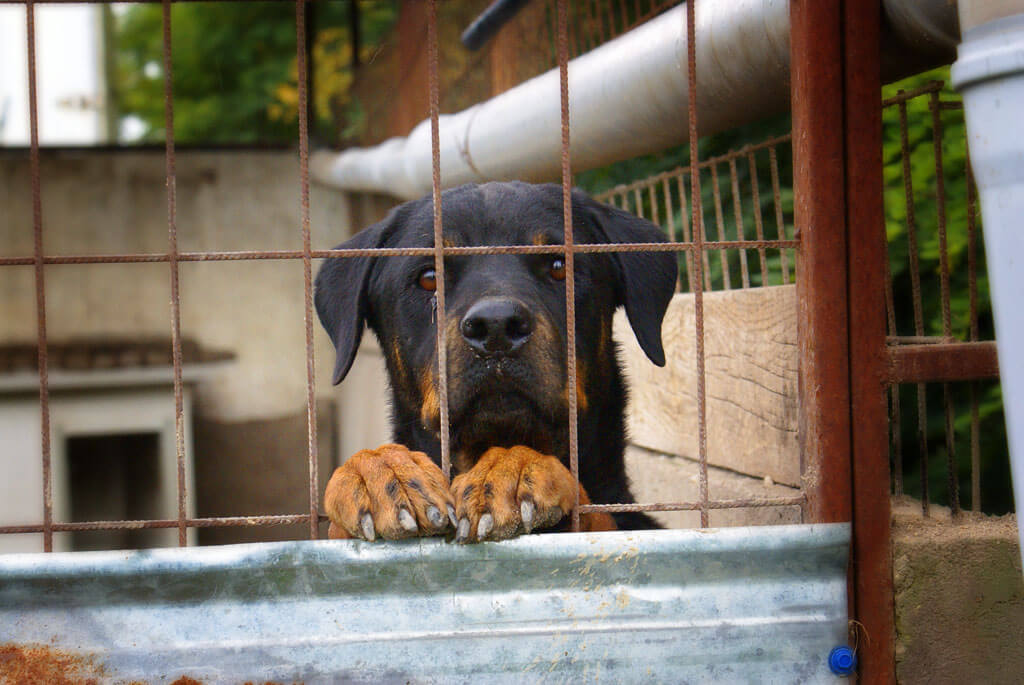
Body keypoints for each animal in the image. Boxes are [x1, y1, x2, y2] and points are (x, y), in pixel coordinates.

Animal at [315, 182, 676, 543]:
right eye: (429, 277)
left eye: (559, 267)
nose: (496, 326)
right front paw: (379, 472)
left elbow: (598, 516)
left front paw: (512, 470)